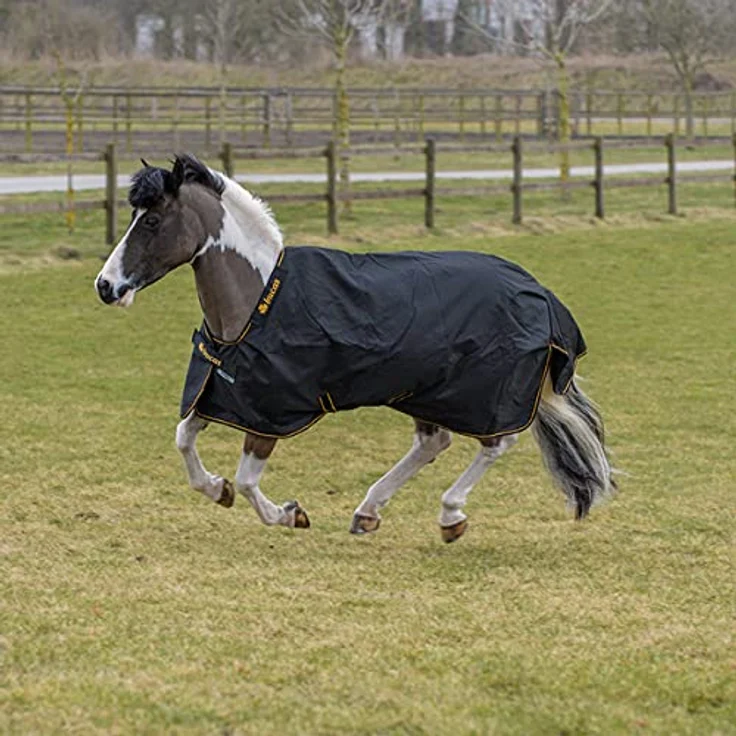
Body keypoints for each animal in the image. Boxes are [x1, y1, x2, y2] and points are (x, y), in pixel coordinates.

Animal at [95, 154, 616, 543]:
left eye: (152, 220)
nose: (105, 286)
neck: (257, 300)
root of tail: (540, 293)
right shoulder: (222, 394)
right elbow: (184, 439)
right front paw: (215, 489)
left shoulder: (270, 412)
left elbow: (246, 480)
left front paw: (290, 514)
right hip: (424, 391)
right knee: (434, 442)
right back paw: (368, 512)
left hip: (480, 395)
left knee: (495, 443)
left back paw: (450, 516)